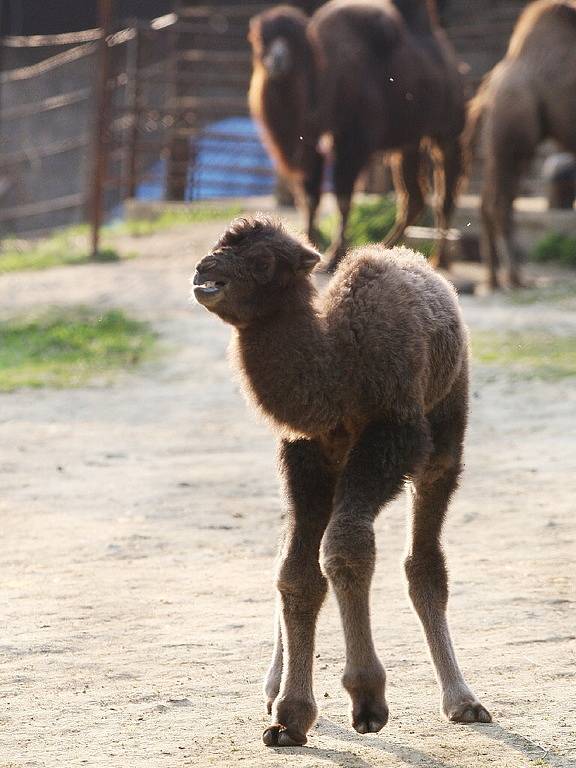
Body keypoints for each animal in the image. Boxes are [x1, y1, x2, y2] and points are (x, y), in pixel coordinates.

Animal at [194, 216, 490, 744]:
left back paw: (463, 700)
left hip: (445, 433)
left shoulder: (390, 438)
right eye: (219, 244)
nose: (204, 272)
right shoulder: (305, 451)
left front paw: (367, 698)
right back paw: (272, 685)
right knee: (288, 546)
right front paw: (290, 714)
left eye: (263, 260)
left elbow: (345, 549)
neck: (338, 362)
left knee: (424, 560)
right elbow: (295, 572)